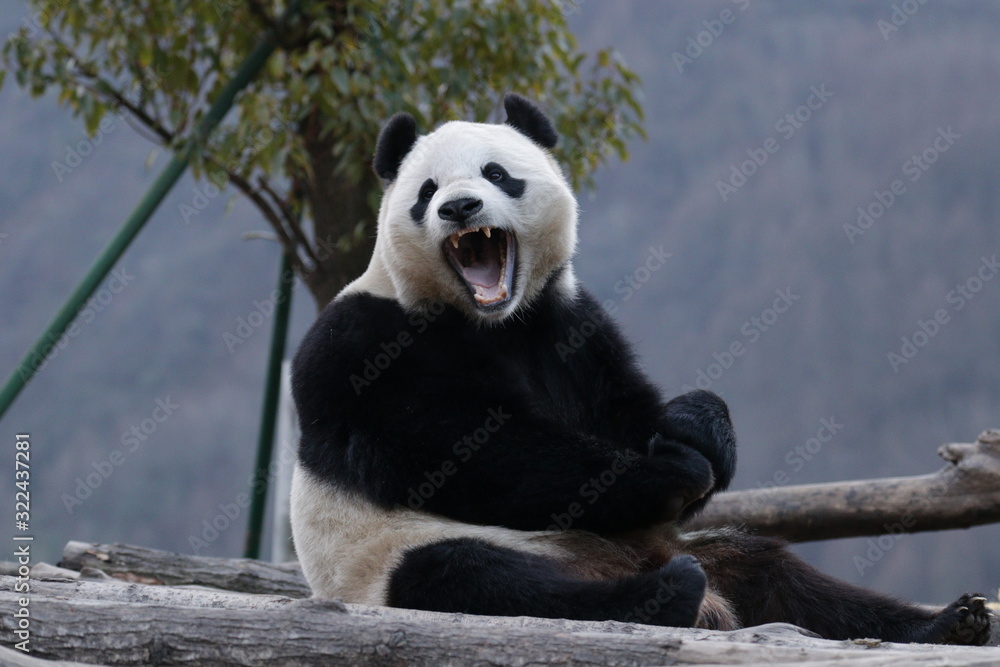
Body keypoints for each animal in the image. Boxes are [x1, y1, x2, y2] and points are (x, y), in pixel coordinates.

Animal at [290, 93, 991, 644]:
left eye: (496, 173)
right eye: (427, 192)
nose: (460, 208)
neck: (494, 321)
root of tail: (620, 562)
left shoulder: (570, 326)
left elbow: (624, 409)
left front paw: (698, 429)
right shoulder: (363, 345)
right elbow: (464, 447)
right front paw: (671, 470)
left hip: (690, 548)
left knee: (779, 576)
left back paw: (948, 622)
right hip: (385, 559)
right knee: (471, 577)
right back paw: (666, 597)